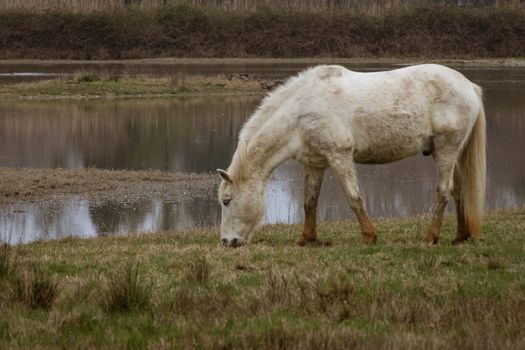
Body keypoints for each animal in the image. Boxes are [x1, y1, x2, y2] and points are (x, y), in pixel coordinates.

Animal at [215, 64, 486, 247]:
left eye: (227, 201)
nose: (227, 242)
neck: (301, 111)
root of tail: (468, 85)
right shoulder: (315, 164)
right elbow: (309, 201)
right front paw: (306, 240)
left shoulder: (339, 156)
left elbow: (354, 197)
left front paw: (369, 237)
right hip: (453, 153)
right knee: (459, 190)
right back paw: (460, 236)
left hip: (446, 150)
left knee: (443, 191)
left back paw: (431, 237)